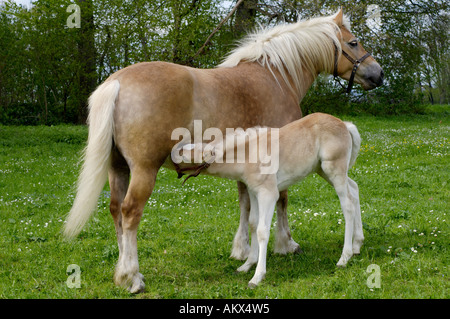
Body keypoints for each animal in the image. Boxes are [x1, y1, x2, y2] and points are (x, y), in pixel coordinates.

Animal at [174, 113, 364, 288]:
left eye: (187, 153)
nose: (174, 152)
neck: (248, 156)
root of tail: (345, 125)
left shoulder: (268, 193)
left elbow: (262, 230)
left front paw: (257, 276)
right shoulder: (253, 191)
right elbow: (252, 223)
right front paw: (247, 265)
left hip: (334, 169)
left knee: (347, 204)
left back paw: (344, 257)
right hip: (323, 170)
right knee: (354, 190)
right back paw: (357, 245)